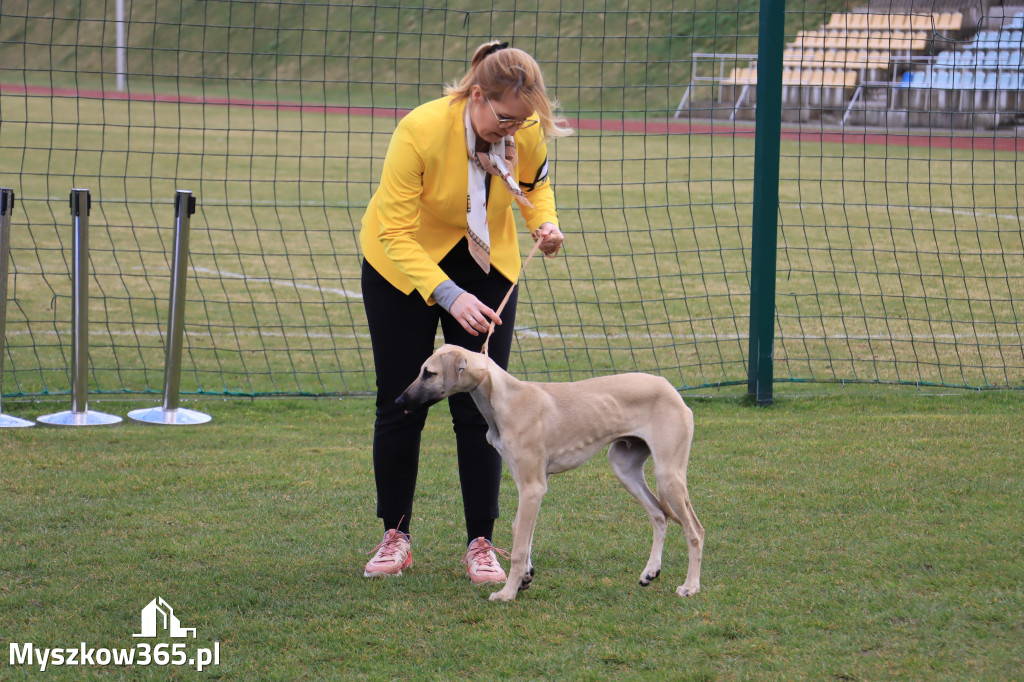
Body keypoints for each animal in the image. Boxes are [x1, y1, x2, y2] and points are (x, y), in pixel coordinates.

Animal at [393, 346, 704, 602]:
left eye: (428, 373)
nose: (398, 401)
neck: (506, 398)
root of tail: (670, 388)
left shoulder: (532, 487)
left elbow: (519, 547)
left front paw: (507, 593)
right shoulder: (533, 485)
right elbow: (522, 531)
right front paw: (525, 577)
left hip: (668, 476)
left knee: (695, 531)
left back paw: (690, 586)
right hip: (624, 466)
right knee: (659, 515)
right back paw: (651, 571)